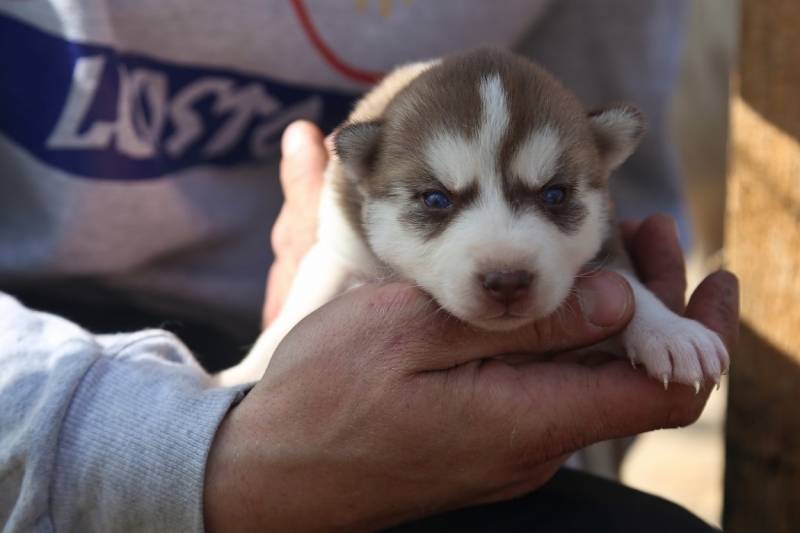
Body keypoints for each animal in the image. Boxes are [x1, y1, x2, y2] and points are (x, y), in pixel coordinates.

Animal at [216, 47, 728, 388]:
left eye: (555, 194)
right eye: (436, 200)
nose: (507, 281)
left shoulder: (605, 234)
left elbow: (627, 281)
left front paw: (673, 332)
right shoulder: (339, 248)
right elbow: (298, 313)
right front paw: (244, 374)